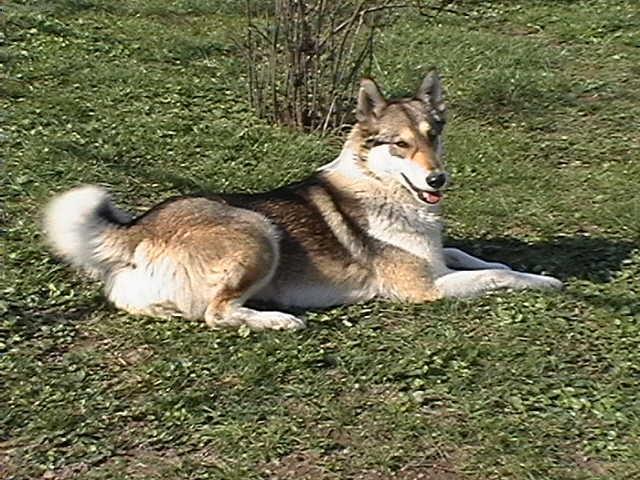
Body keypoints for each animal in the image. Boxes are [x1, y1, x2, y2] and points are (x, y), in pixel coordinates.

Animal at [45, 72, 564, 330]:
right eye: (399, 145)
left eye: (432, 135)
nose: (438, 178)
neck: (383, 187)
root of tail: (140, 227)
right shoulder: (424, 289)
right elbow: (497, 276)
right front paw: (540, 280)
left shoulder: (438, 257)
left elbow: (474, 256)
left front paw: (523, 268)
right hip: (259, 231)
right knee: (216, 314)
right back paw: (278, 320)